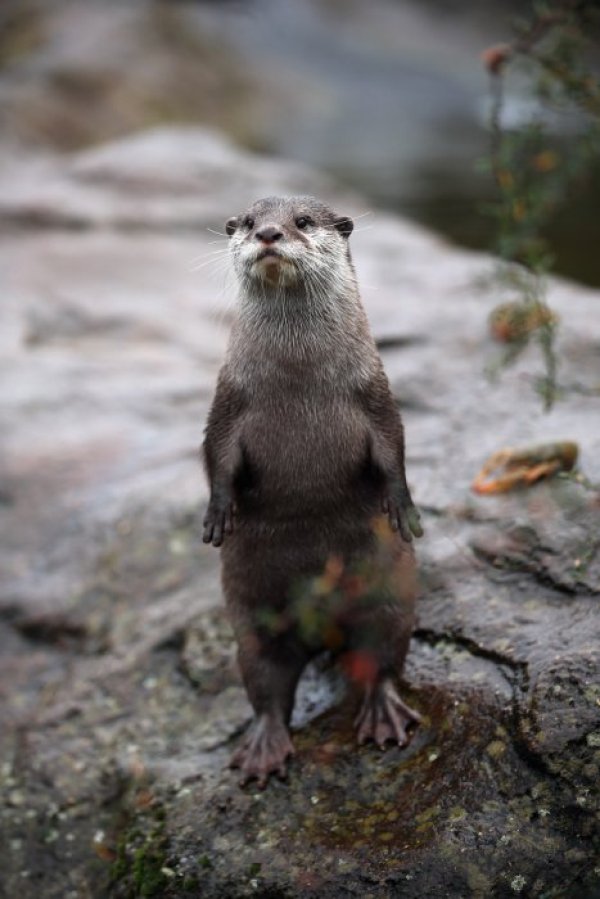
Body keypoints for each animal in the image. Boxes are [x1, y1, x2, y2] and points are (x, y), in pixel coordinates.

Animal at [202, 197, 422, 788]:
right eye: (249, 223)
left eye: (303, 222)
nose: (270, 234)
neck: (298, 375)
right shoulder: (229, 398)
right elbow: (214, 452)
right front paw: (218, 514)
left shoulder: (374, 390)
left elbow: (394, 444)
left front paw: (404, 509)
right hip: (253, 621)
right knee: (266, 684)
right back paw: (264, 748)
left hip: (389, 599)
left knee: (381, 657)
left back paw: (383, 715)